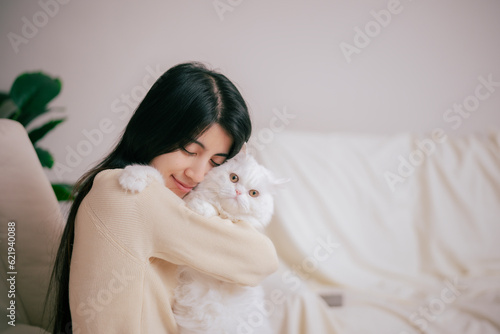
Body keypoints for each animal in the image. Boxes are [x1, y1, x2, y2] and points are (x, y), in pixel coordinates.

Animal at [118, 147, 288, 334]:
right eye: (234, 178)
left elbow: (213, 211)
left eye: (253, 193)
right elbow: (154, 174)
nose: (238, 193)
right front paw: (133, 177)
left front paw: (201, 208)